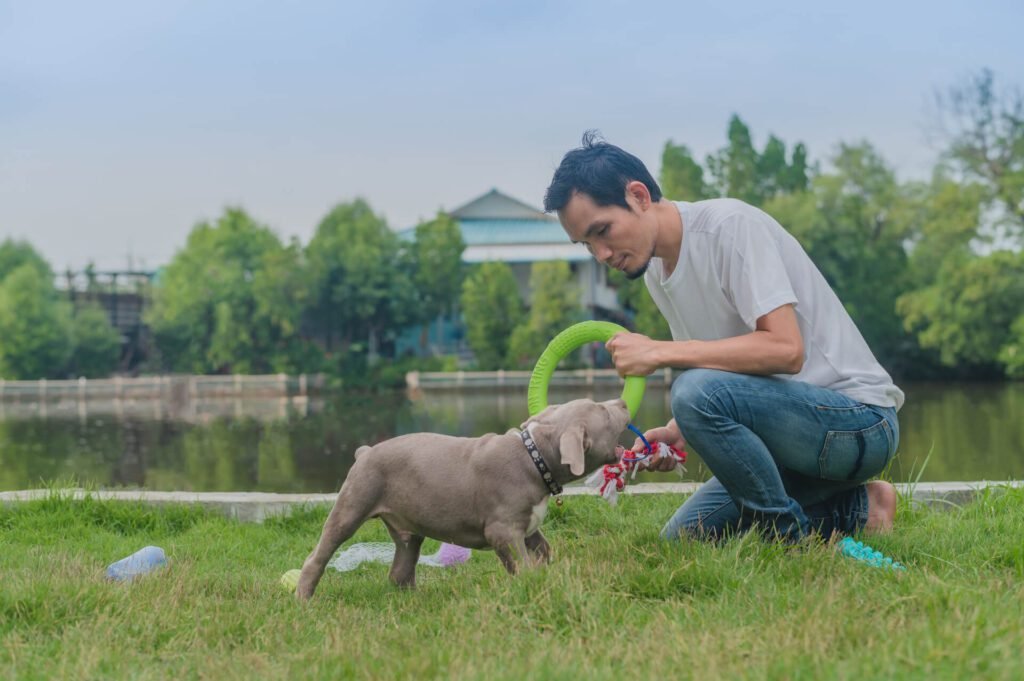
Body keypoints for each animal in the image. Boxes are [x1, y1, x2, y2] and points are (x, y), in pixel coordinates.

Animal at [296, 395, 626, 598]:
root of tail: (364, 452)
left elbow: (543, 549)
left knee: (401, 567)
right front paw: (532, 585)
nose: (622, 401)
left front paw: (549, 576)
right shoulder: (503, 529)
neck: (535, 458)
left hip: (408, 528)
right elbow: (520, 563)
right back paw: (304, 597)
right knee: (320, 553)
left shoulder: (527, 526)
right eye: (601, 410)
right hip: (354, 501)